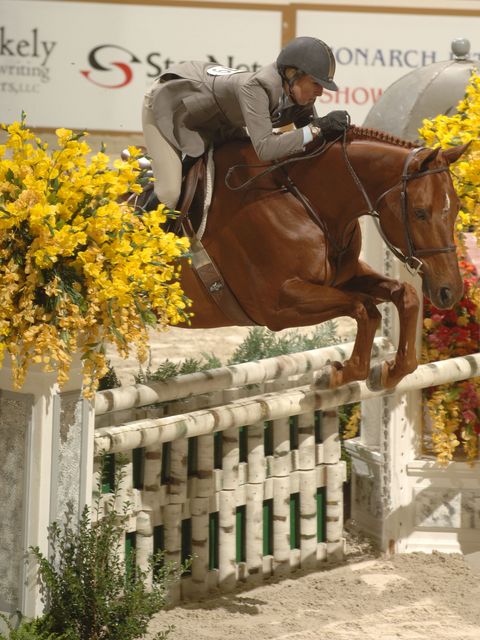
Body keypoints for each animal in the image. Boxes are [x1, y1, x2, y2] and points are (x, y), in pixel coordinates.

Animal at [172, 127, 464, 388]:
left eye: (456, 209)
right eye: (420, 212)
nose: (450, 291)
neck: (303, 199)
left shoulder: (343, 278)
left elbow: (406, 296)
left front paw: (390, 371)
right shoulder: (278, 306)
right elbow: (364, 308)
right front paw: (336, 373)